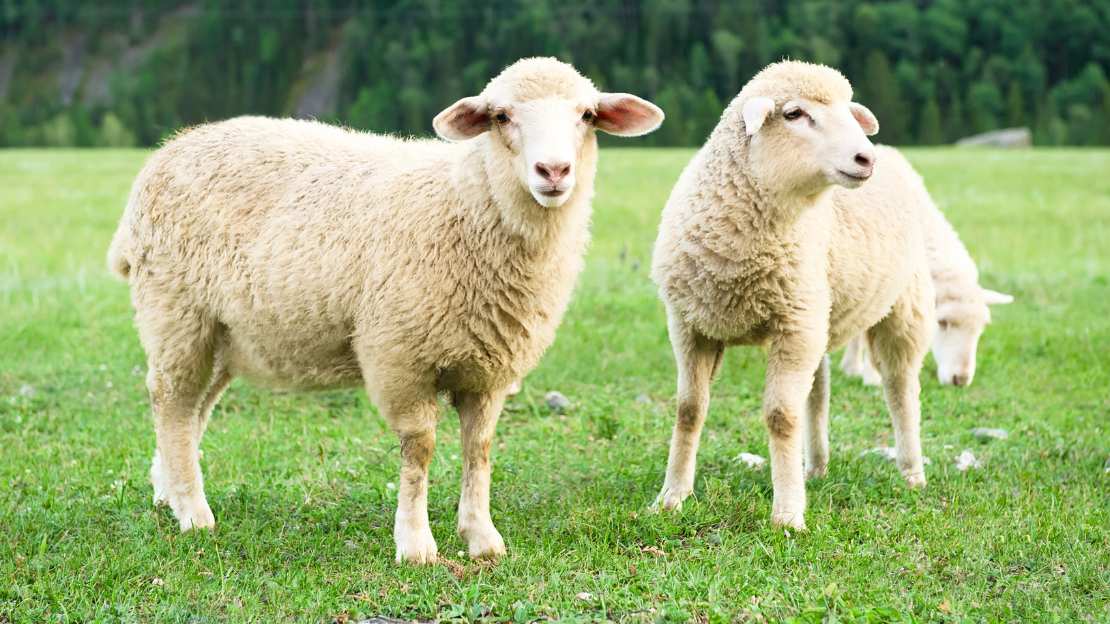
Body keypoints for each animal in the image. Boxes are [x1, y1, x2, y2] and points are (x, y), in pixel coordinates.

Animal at [106, 57, 663, 564]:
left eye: (587, 114)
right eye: (501, 116)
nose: (553, 171)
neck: (468, 205)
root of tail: (168, 151)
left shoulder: (490, 369)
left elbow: (479, 449)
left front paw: (481, 538)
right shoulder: (401, 357)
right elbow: (419, 450)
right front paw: (416, 545)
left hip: (224, 333)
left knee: (193, 411)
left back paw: (169, 491)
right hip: (176, 312)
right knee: (172, 402)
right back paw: (193, 512)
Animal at [650, 61, 935, 530]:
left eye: (849, 112)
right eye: (794, 114)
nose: (865, 158)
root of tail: (895, 154)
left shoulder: (793, 326)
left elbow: (781, 417)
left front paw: (787, 514)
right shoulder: (691, 325)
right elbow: (689, 409)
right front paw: (672, 496)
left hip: (900, 306)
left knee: (901, 388)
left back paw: (911, 472)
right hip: (818, 313)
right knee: (818, 394)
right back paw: (814, 467)